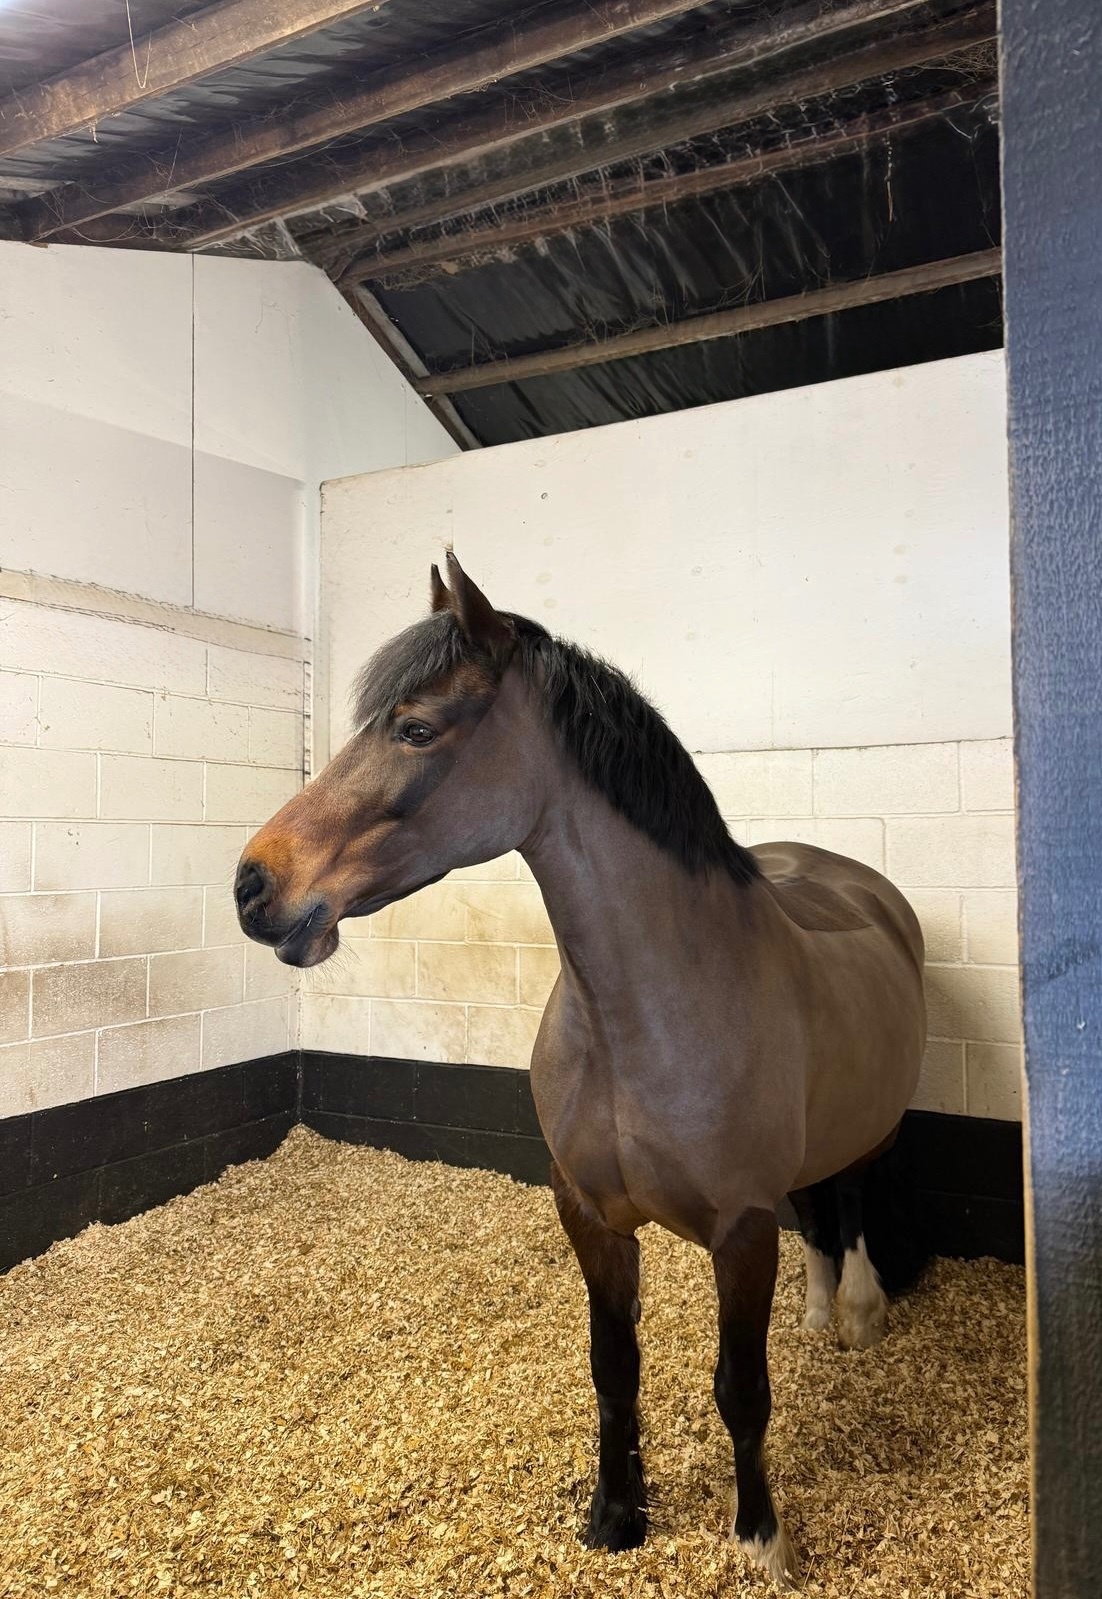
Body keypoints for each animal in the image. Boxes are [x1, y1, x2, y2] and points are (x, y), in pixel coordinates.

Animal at [235, 552, 927, 1587]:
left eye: (415, 726)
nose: (252, 884)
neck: (642, 1012)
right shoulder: (590, 1214)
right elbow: (613, 1366)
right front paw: (616, 1514)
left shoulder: (739, 1230)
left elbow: (742, 1387)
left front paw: (762, 1536)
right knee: (817, 1207)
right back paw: (816, 1313)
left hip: (867, 1134)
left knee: (846, 1200)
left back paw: (858, 1310)